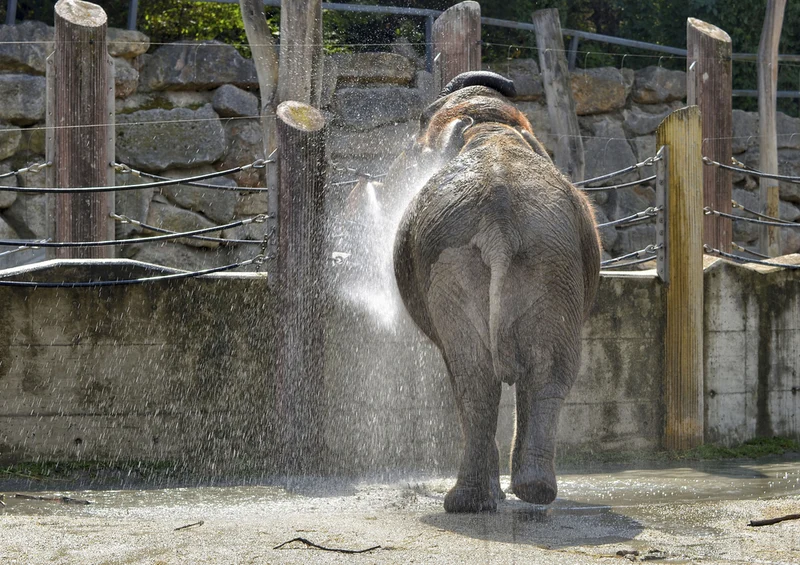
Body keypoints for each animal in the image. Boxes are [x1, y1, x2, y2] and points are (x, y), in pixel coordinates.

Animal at [390, 71, 601, 513]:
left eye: (420, 124)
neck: (489, 125)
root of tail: (498, 224)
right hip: (551, 260)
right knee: (543, 368)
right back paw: (528, 492)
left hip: (459, 262)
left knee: (472, 375)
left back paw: (473, 501)